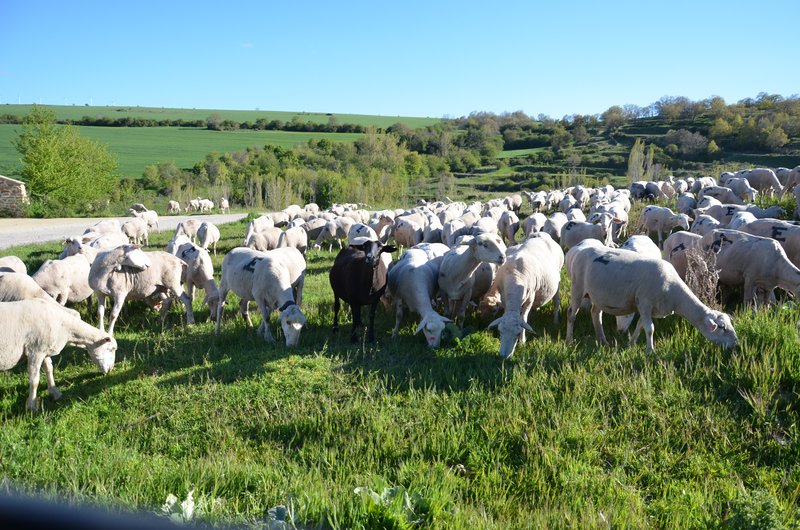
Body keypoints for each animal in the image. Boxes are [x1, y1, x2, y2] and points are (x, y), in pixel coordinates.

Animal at [564, 244, 736, 352]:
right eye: (722, 327)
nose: (736, 344)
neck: (674, 295)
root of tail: (579, 250)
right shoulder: (645, 303)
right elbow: (650, 329)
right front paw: (650, 351)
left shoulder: (649, 308)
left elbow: (640, 326)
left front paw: (630, 344)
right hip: (578, 288)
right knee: (571, 314)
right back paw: (569, 341)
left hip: (598, 295)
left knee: (595, 313)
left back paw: (603, 341)